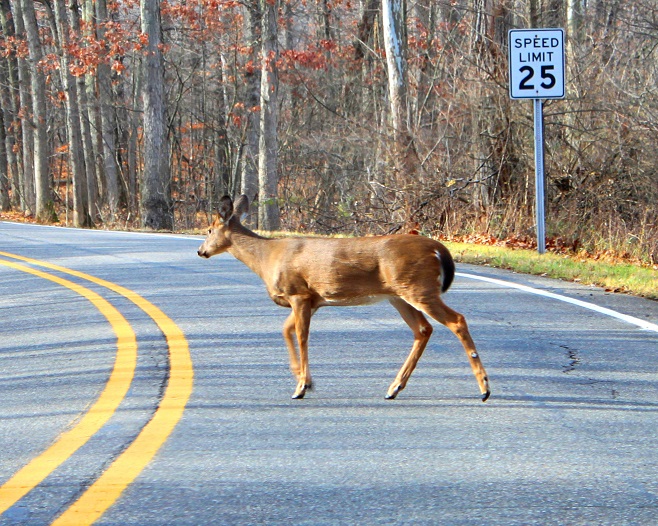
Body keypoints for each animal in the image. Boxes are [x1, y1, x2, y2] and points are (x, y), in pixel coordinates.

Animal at [197, 196, 490, 402]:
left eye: (209, 230)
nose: (200, 251)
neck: (266, 258)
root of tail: (439, 249)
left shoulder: (299, 293)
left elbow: (301, 337)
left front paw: (300, 387)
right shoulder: (312, 300)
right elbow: (285, 330)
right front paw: (305, 380)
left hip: (419, 288)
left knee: (456, 320)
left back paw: (484, 388)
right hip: (399, 295)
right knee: (423, 329)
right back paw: (394, 388)